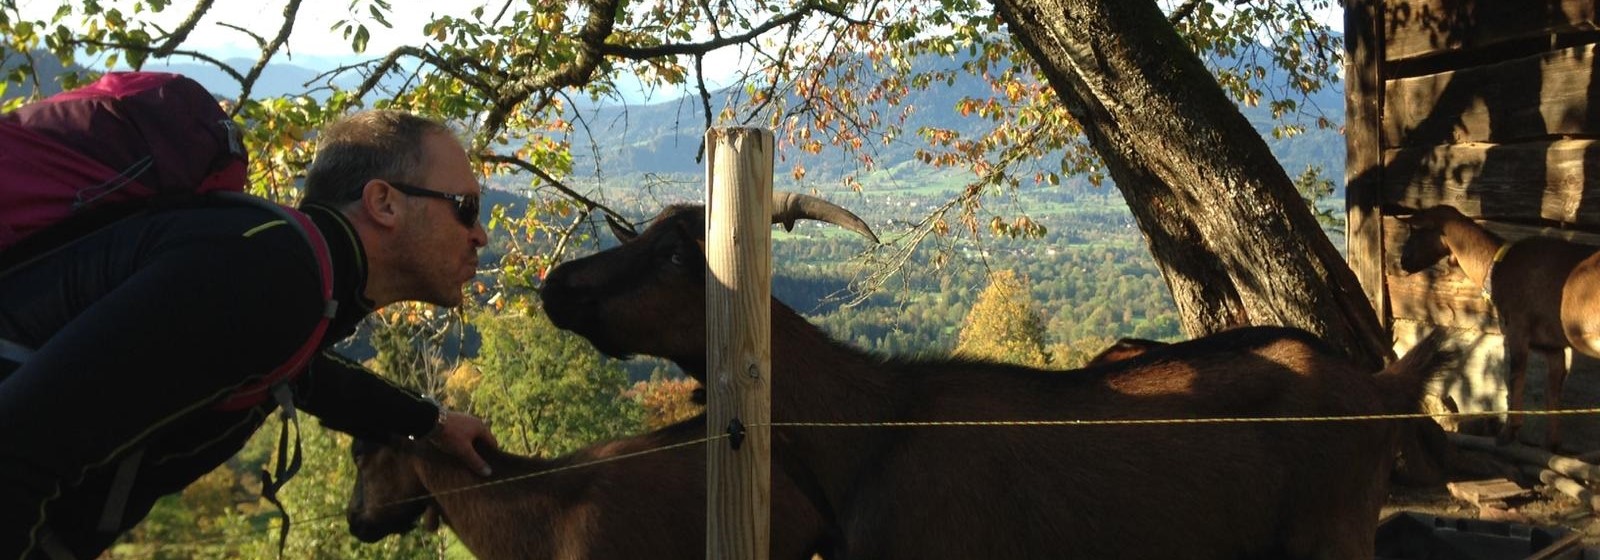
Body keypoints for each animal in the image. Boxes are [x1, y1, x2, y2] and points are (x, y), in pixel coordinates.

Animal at [1401, 206, 1600, 451]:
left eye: (1415, 230)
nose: (1402, 261)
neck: (1496, 266)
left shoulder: (1517, 328)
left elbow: (1515, 377)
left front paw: (1507, 433)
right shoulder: (1552, 347)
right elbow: (1552, 393)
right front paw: (1552, 446)